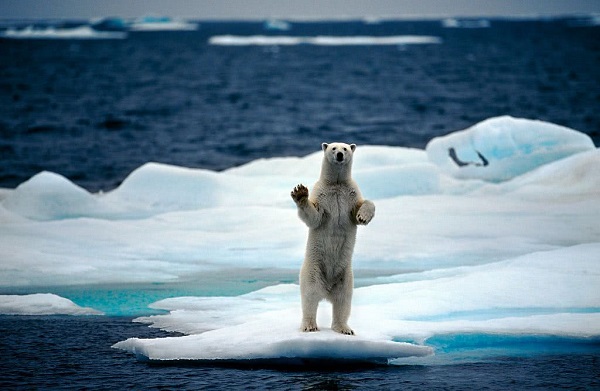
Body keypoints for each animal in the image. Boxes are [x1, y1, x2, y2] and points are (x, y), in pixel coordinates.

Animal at [290, 142, 376, 336]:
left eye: (345, 148)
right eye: (333, 148)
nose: (339, 155)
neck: (336, 184)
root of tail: (327, 289)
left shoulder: (351, 194)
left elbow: (363, 205)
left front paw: (363, 216)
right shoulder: (322, 196)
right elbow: (314, 216)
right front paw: (300, 194)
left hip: (345, 276)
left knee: (343, 300)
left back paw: (344, 328)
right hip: (313, 269)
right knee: (310, 296)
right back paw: (309, 325)